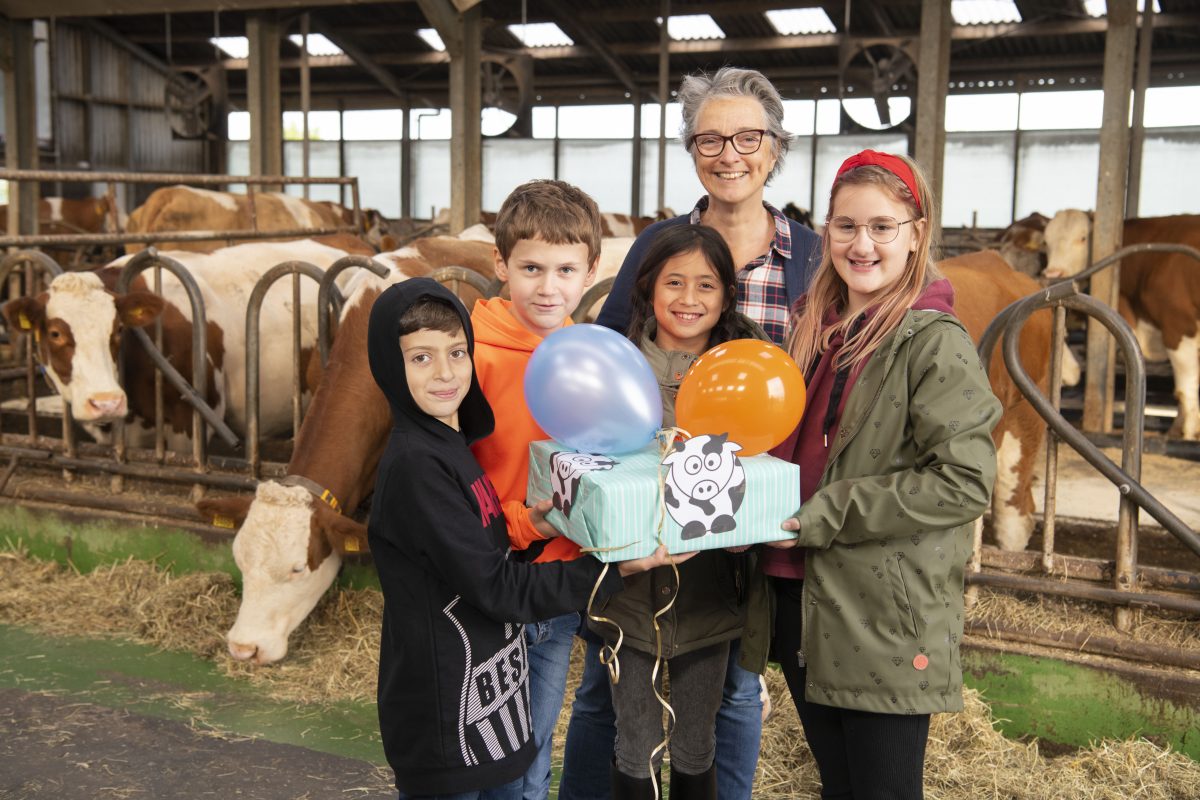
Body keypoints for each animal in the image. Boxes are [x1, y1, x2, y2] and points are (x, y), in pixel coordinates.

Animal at [1041, 209, 1200, 441]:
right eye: (1046, 241)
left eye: (1083, 238)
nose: (1053, 274)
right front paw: (1178, 429)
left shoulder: (1178, 327)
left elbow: (1186, 388)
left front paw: (1188, 433)